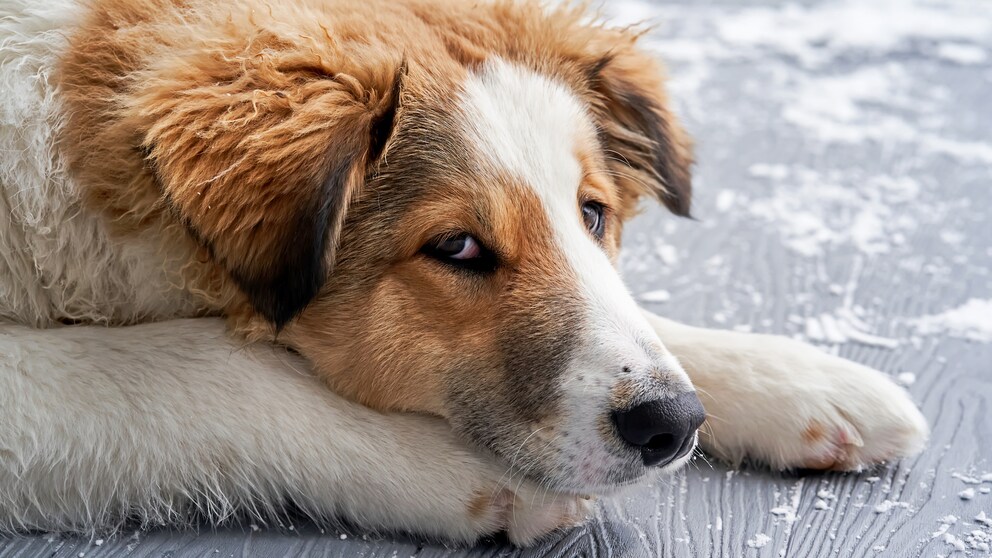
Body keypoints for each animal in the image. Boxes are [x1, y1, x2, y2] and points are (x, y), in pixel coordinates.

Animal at [0, 0, 928, 548]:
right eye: (457, 249)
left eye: (592, 214)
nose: (673, 424)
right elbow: (195, 367)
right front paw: (451, 471)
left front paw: (798, 380)